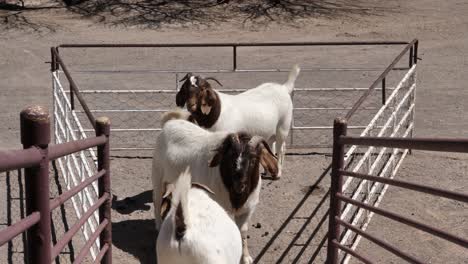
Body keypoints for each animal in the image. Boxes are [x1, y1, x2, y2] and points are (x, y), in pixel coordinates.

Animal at [154, 112, 278, 262]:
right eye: (230, 157)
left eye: (254, 158)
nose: (239, 184)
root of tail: (170, 123)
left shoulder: (248, 210)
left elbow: (243, 232)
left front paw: (246, 257)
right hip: (157, 175)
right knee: (156, 202)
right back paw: (158, 226)